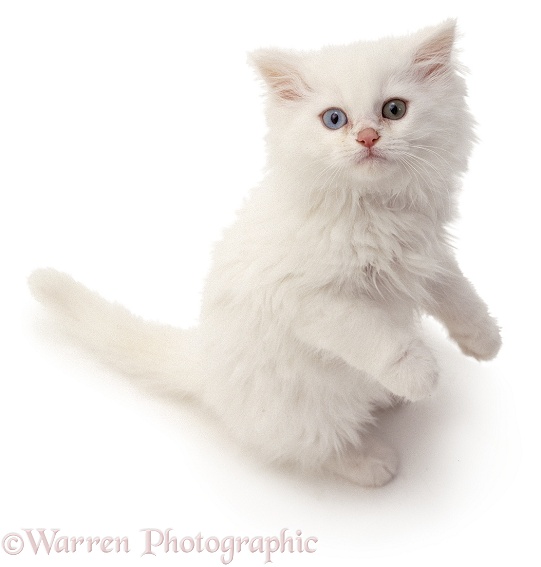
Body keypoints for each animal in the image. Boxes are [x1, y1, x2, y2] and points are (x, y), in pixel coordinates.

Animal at [29, 20, 500, 486]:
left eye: (394, 110)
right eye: (334, 119)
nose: (367, 137)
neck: (373, 209)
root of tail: (204, 365)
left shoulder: (428, 254)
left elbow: (459, 296)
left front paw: (485, 341)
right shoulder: (311, 300)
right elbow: (377, 336)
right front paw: (420, 375)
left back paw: (387, 397)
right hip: (301, 410)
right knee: (315, 447)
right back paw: (373, 461)